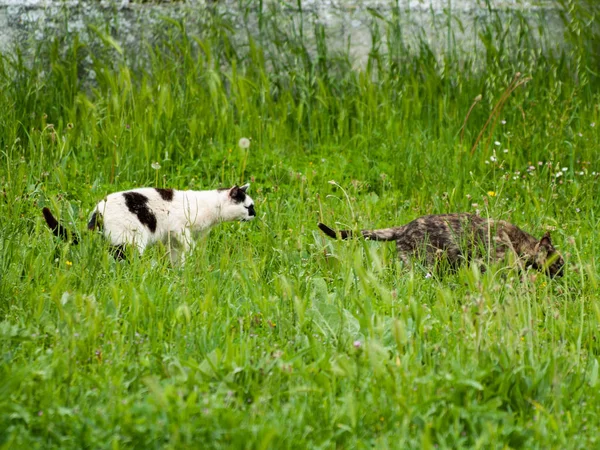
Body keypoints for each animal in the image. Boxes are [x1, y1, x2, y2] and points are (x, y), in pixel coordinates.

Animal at [42, 184, 255, 264]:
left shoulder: (172, 240)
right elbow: (189, 246)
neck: (209, 207)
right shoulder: (180, 229)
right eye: (248, 207)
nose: (255, 215)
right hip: (131, 241)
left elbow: (177, 258)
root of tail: (98, 210)